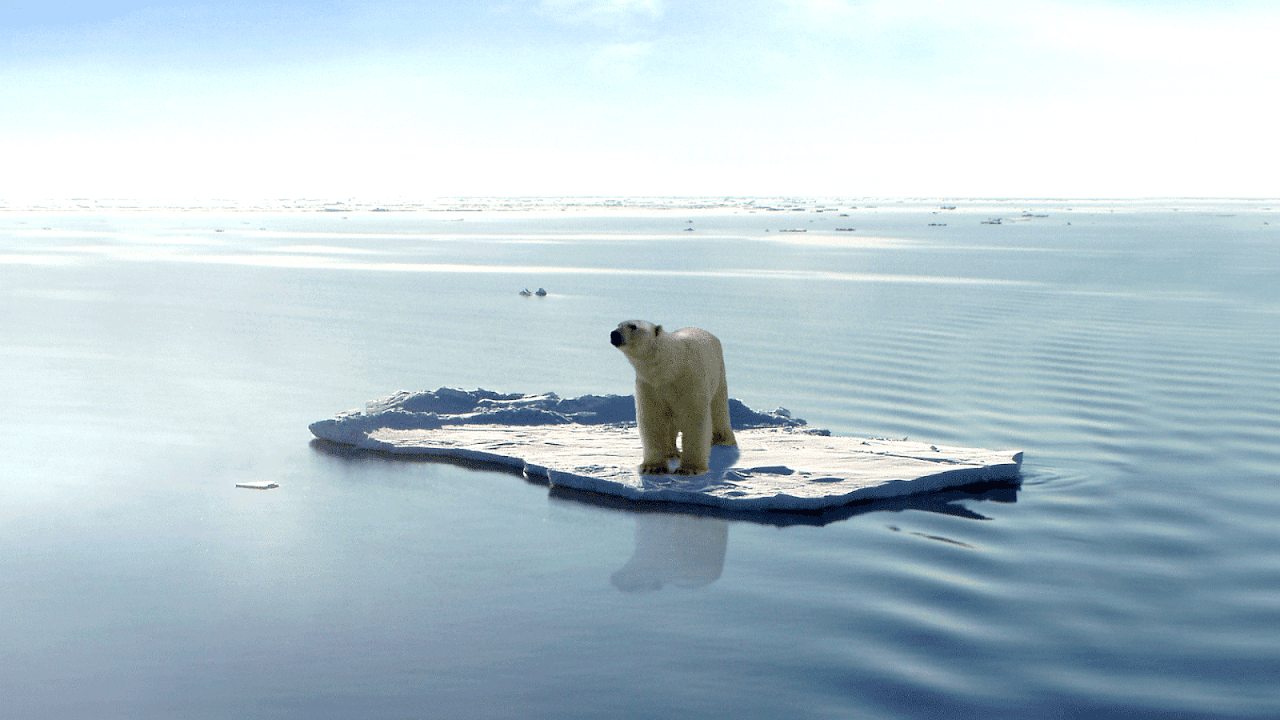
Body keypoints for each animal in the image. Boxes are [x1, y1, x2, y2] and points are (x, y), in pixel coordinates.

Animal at [610, 320, 737, 475]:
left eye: (633, 326)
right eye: (618, 325)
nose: (614, 334)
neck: (670, 368)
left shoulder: (690, 381)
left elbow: (695, 419)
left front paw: (689, 469)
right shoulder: (650, 386)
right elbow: (653, 419)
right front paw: (653, 467)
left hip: (718, 374)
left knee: (719, 410)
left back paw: (722, 439)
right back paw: (671, 452)